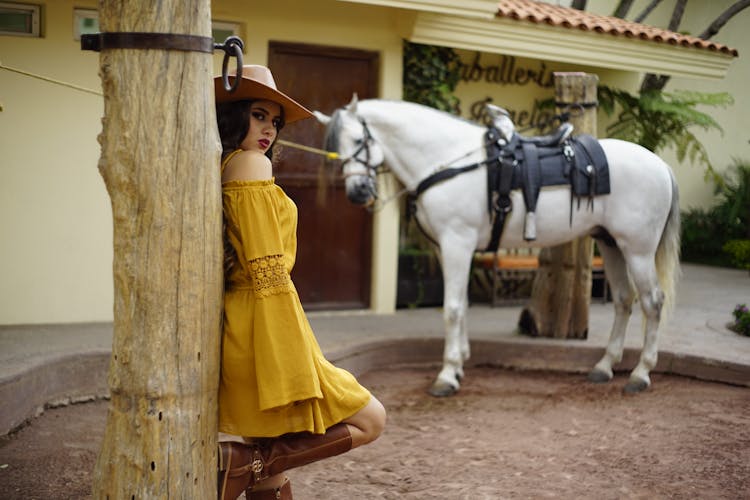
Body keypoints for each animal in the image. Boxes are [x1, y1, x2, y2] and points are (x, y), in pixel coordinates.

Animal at [314, 95, 684, 396]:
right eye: (335, 149)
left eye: (359, 139)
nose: (358, 192)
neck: (448, 160)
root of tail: (661, 165)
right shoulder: (448, 249)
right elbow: (461, 304)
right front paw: (459, 365)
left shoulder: (457, 243)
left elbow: (452, 308)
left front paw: (447, 375)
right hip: (611, 244)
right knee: (623, 300)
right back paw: (605, 367)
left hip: (637, 250)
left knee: (652, 303)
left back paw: (640, 374)